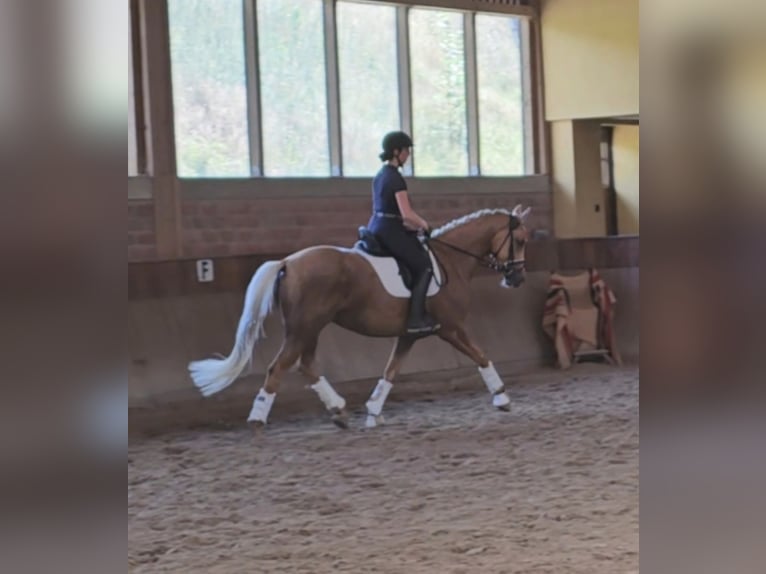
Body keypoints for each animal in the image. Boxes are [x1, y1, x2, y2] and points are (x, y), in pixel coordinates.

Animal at [189, 206, 532, 428]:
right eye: (520, 241)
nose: (517, 278)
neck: (451, 260)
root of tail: (288, 262)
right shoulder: (451, 328)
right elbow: (481, 355)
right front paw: (501, 397)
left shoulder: (409, 334)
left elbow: (391, 371)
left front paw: (373, 411)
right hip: (304, 328)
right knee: (279, 368)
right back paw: (258, 420)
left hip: (310, 329)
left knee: (306, 365)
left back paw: (339, 410)